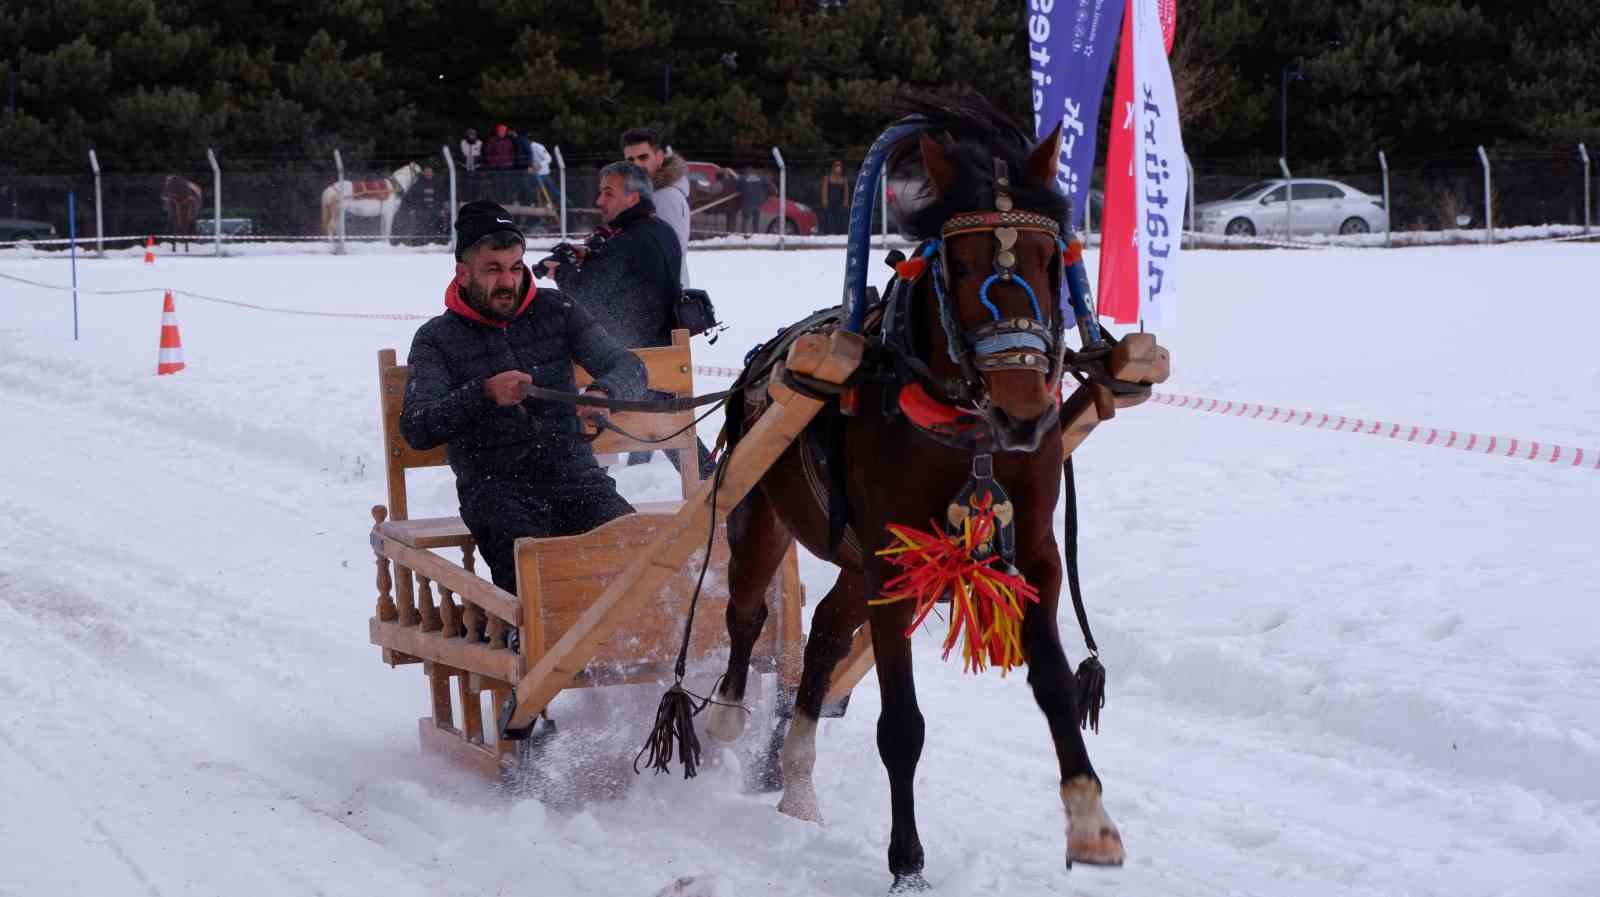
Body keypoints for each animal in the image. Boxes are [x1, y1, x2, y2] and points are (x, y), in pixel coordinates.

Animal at [707, 97, 1120, 889]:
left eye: (1051, 258)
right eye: (957, 263)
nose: (1024, 410)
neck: (969, 430)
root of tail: (759, 363)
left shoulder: (1034, 552)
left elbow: (1054, 684)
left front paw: (1090, 819)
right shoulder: (896, 563)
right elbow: (901, 725)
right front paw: (908, 862)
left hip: (854, 560)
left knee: (825, 634)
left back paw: (795, 776)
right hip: (759, 517)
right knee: (745, 615)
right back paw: (724, 720)